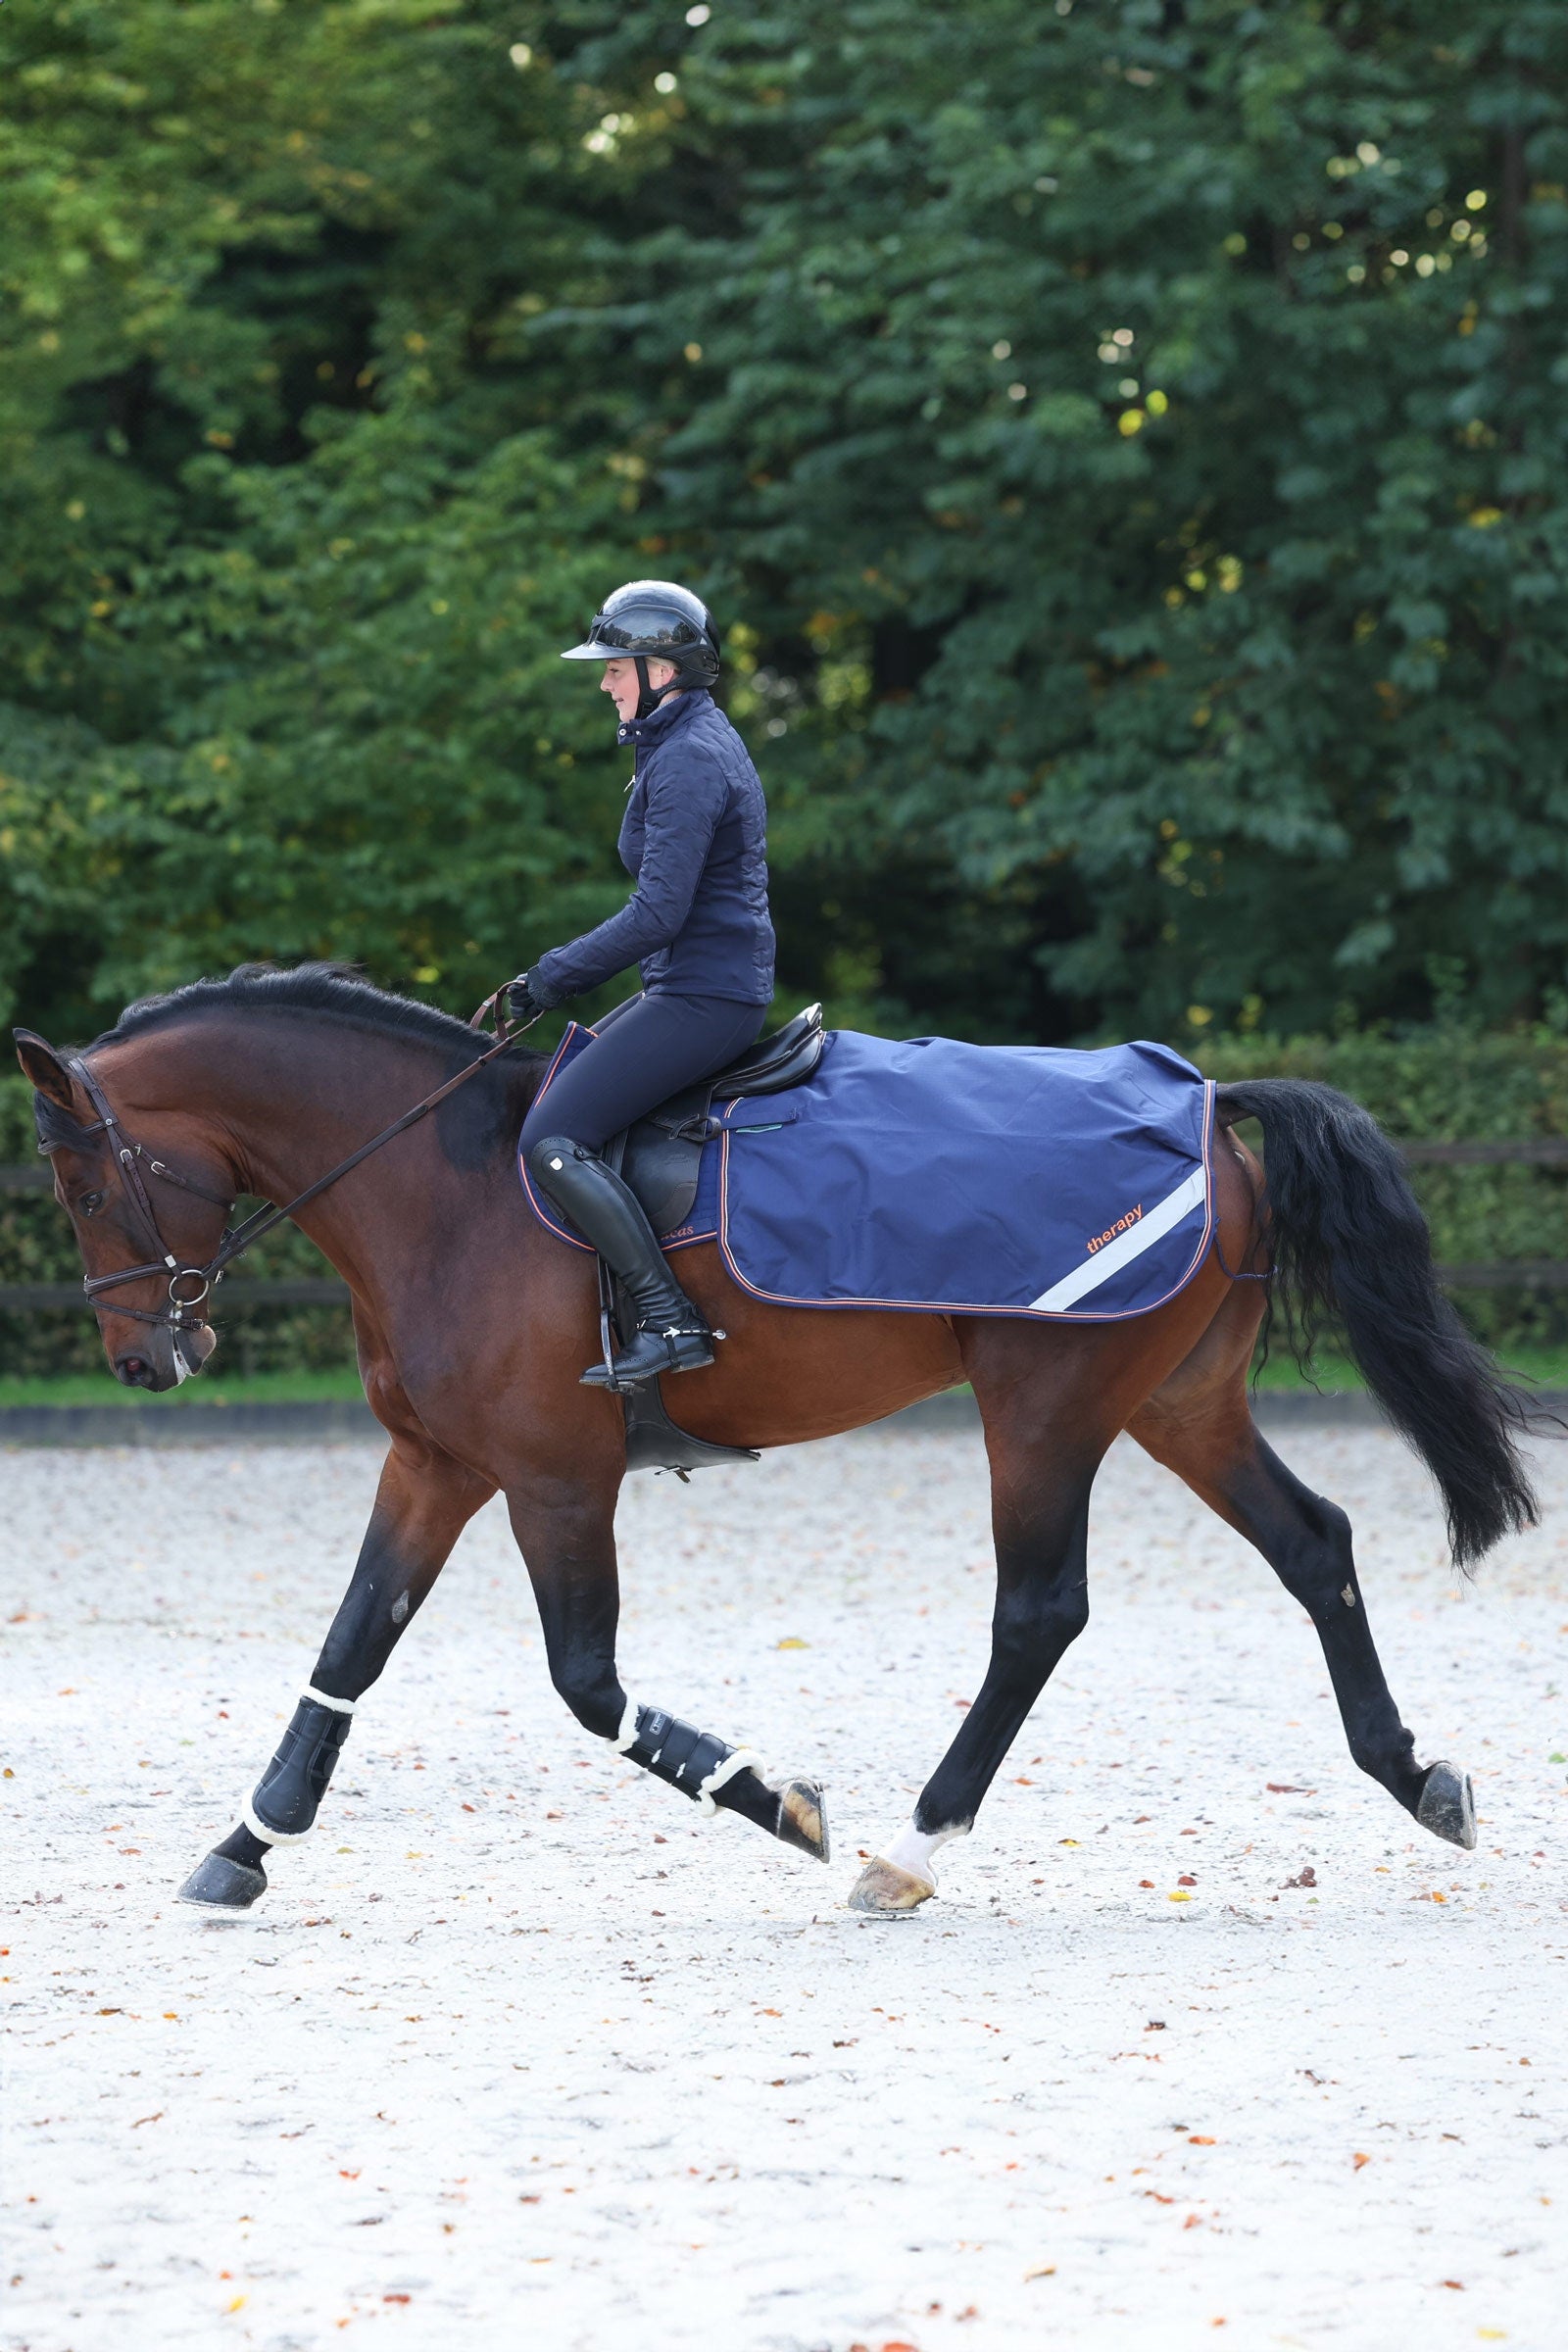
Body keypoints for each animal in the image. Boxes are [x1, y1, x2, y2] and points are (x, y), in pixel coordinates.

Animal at [15, 964, 1538, 1915]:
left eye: (83, 1185)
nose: (146, 1361)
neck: (441, 1187)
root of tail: (1210, 1107)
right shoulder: (435, 1465)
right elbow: (346, 1654)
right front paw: (242, 1849)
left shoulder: (555, 1482)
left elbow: (586, 1685)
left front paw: (778, 1804)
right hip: (1177, 1403)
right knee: (1313, 1544)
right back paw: (1417, 1777)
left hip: (1046, 1407)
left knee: (1040, 1611)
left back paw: (912, 1849)